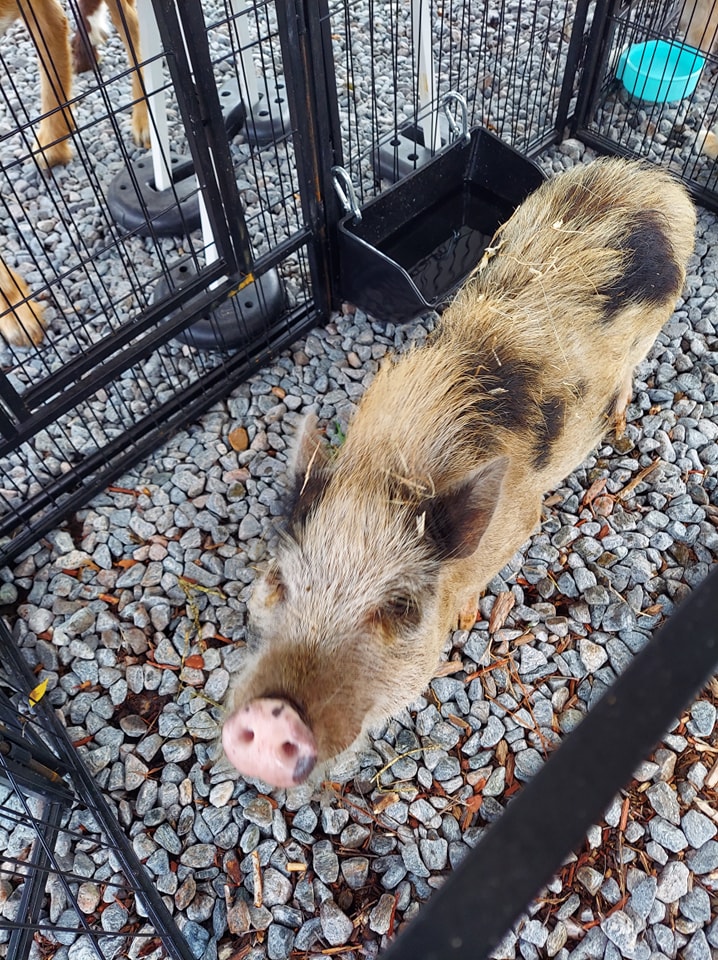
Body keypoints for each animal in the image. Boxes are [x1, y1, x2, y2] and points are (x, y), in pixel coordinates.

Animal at [221, 158, 696, 788]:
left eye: (401, 609)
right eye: (278, 580)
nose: (270, 714)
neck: (388, 471)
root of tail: (660, 184)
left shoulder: (519, 520)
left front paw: (470, 620)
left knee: (628, 381)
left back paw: (618, 428)